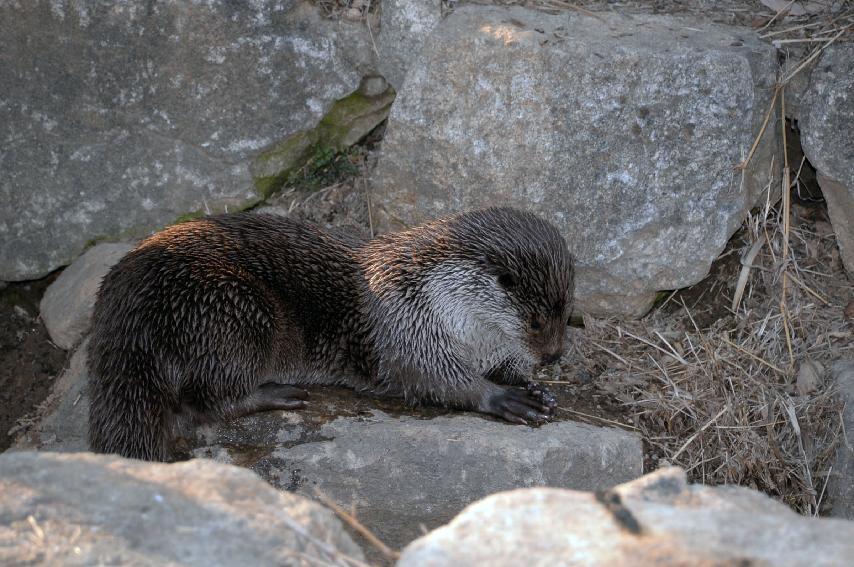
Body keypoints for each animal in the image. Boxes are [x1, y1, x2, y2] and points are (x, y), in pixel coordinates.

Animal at [88, 207, 576, 462]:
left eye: (567, 313)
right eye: (536, 322)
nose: (553, 356)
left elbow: (506, 367)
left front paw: (533, 385)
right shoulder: (403, 323)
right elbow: (430, 378)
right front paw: (501, 397)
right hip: (231, 313)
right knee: (202, 402)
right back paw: (276, 394)